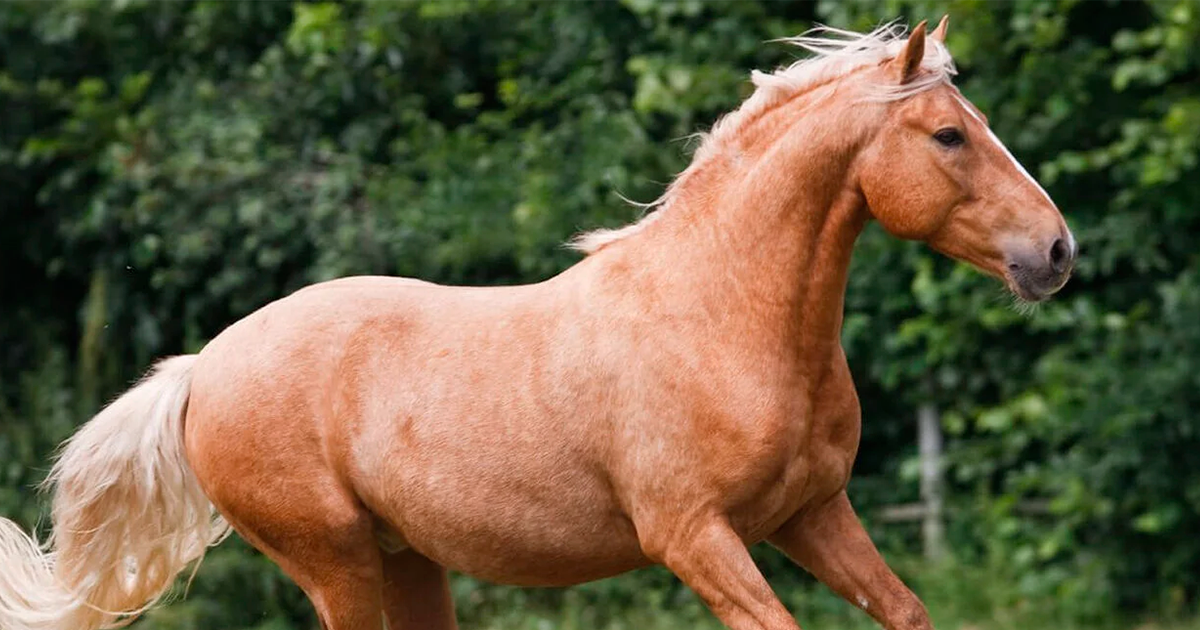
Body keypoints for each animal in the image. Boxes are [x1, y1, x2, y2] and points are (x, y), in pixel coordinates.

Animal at [0, 17, 1075, 630]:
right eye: (949, 135)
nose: (1057, 251)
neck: (724, 318)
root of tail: (202, 367)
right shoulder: (696, 538)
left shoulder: (812, 516)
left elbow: (907, 612)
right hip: (335, 561)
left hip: (406, 560)